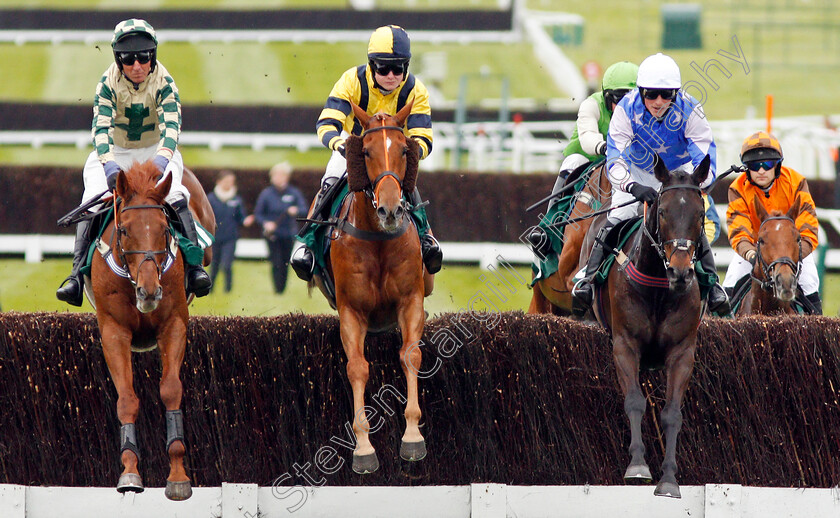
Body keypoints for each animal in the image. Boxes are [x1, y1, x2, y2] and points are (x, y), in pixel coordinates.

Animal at [86, 164, 213, 504]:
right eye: (125, 230)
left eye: (164, 229)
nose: (150, 291)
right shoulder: (113, 332)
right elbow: (127, 399)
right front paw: (130, 472)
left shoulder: (173, 325)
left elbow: (170, 390)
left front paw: (178, 476)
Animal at [592, 155, 708, 500]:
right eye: (663, 210)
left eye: (700, 214)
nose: (681, 272)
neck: (658, 288)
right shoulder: (625, 345)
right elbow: (634, 400)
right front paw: (638, 465)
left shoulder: (682, 353)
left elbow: (672, 414)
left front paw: (669, 479)